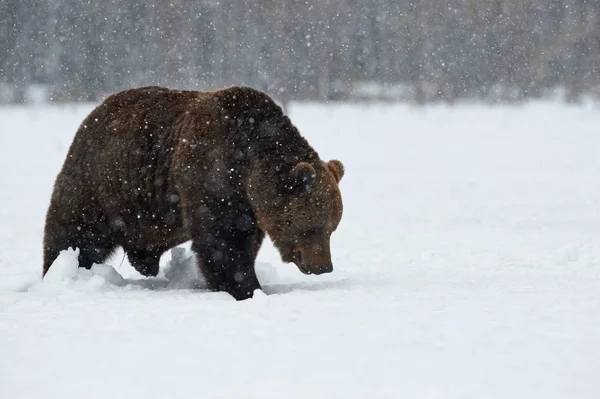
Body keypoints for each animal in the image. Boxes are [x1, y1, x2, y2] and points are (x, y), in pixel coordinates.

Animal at [43, 86, 342, 300]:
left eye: (332, 227)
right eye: (315, 227)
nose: (324, 266)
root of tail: (93, 113)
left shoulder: (247, 205)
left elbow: (244, 240)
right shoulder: (212, 173)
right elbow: (224, 242)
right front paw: (245, 288)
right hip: (102, 183)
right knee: (76, 232)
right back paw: (61, 270)